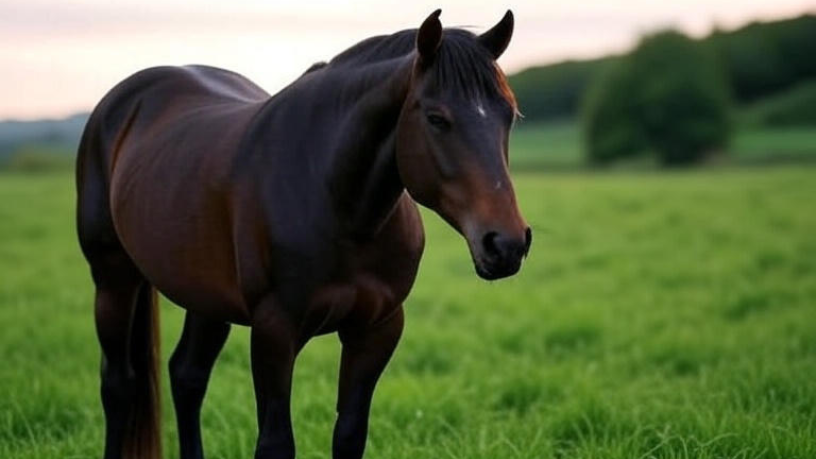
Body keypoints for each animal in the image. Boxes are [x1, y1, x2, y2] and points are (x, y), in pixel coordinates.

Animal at [76, 9, 531, 459]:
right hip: (113, 278)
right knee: (118, 384)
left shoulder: (377, 329)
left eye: (509, 115)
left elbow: (349, 435)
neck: (337, 201)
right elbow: (276, 442)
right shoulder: (275, 329)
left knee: (187, 376)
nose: (506, 244)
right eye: (437, 119)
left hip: (204, 294)